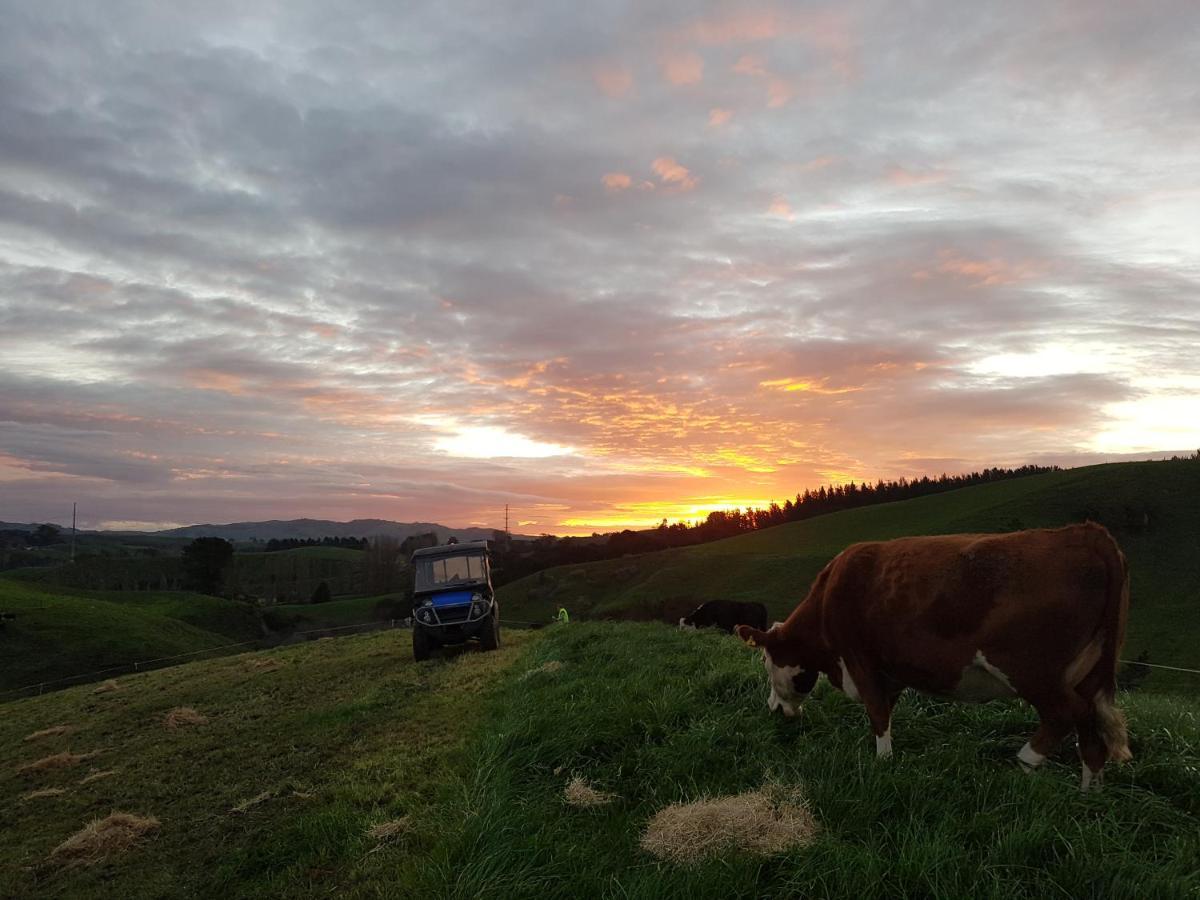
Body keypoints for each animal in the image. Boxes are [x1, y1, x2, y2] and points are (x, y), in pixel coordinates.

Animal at [729, 525, 1132, 792]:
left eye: (766, 663)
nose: (774, 709)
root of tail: (1086, 532)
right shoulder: (891, 669)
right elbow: (886, 710)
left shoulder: (860, 659)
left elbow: (877, 713)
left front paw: (882, 763)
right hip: (1088, 671)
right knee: (1091, 730)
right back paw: (1089, 793)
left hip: (1032, 669)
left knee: (1067, 714)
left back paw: (1023, 762)